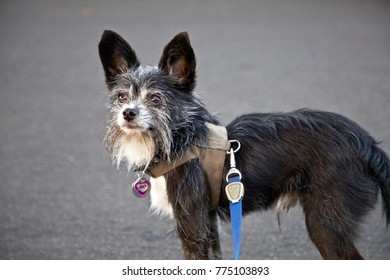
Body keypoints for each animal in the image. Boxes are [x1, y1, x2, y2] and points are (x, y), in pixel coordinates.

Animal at [97, 29, 390, 260]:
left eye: (156, 99)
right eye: (122, 97)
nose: (128, 113)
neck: (180, 139)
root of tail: (366, 144)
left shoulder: (193, 227)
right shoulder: (207, 225)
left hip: (326, 224)